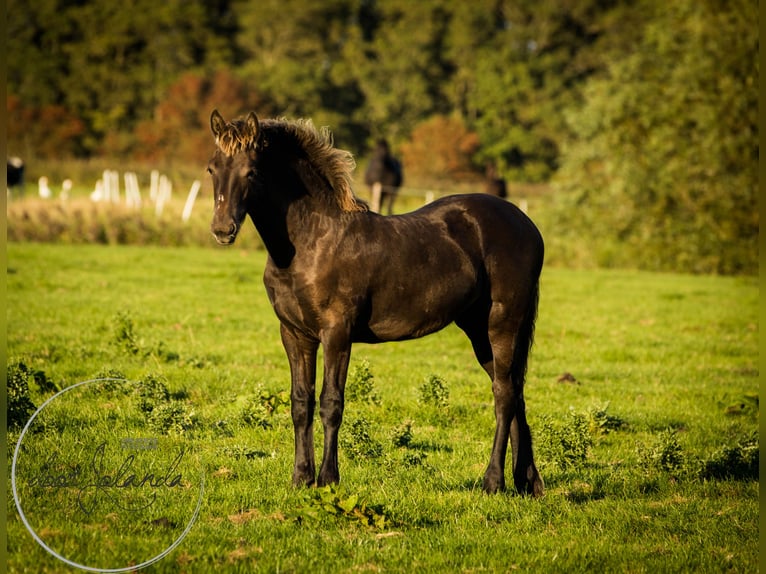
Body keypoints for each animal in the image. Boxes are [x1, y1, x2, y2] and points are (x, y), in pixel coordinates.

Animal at [207, 110, 545, 496]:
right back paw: (527, 481)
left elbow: (331, 403)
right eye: (212, 168)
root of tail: (526, 225)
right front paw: (301, 477)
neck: (312, 241)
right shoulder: (295, 334)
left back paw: (493, 481)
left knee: (504, 394)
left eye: (251, 171)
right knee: (515, 391)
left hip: (503, 324)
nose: (222, 229)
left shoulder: (337, 333)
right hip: (478, 331)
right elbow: (300, 403)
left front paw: (328, 478)